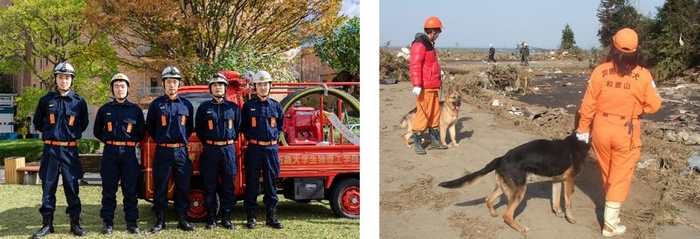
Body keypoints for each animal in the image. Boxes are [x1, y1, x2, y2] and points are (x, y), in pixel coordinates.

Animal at [438, 134, 592, 232]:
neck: (578, 142)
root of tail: (501, 158)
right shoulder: (569, 180)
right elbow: (568, 202)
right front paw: (570, 218)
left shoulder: (557, 180)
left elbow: (556, 200)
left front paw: (559, 213)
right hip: (520, 191)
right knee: (507, 215)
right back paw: (520, 228)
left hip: (506, 187)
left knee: (488, 199)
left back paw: (493, 213)